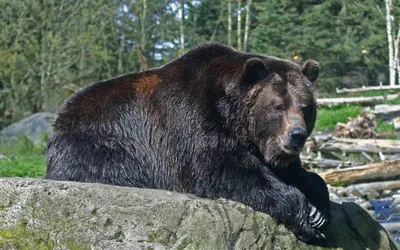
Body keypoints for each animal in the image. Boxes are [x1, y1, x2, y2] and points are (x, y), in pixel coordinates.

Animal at [45, 43, 332, 246]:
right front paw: (307, 215)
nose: (297, 135)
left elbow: (296, 172)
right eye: (278, 106)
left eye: (306, 107)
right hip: (99, 141)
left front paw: (320, 208)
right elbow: (224, 170)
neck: (231, 114)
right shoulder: (191, 120)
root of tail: (59, 117)